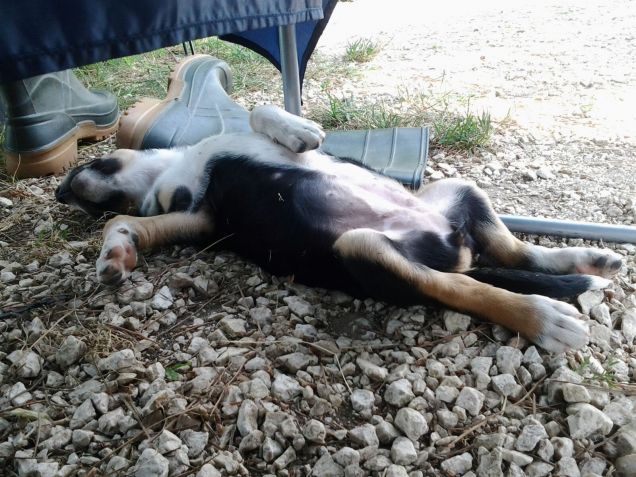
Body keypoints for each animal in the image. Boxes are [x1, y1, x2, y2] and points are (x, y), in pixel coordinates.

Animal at [57, 106, 624, 354]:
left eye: (99, 160)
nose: (63, 193)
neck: (177, 171)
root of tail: (455, 247)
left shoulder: (197, 210)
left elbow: (259, 111)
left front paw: (297, 130)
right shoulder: (202, 218)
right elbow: (130, 221)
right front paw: (115, 253)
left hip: (457, 191)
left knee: (514, 253)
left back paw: (591, 262)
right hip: (362, 246)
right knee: (464, 285)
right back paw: (543, 317)